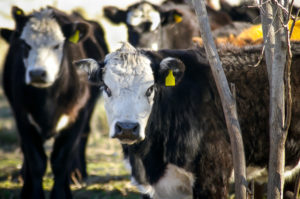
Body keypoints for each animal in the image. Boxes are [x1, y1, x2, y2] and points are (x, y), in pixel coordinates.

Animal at [0, 6, 108, 199]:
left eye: (57, 45)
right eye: (25, 45)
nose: (37, 73)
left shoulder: (78, 116)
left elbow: (61, 159)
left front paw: (61, 193)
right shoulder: (22, 115)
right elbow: (36, 160)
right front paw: (32, 192)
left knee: (82, 139)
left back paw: (77, 175)